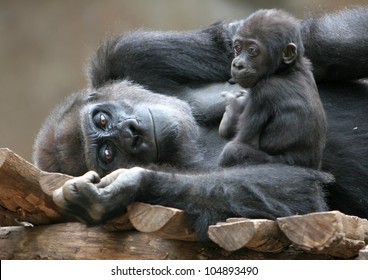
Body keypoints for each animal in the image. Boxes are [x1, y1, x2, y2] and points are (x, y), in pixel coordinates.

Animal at [218, 9, 324, 168]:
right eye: (238, 48)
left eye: (252, 50)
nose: (237, 64)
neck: (285, 70)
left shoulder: (265, 92)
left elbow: (244, 142)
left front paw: (232, 107)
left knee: (232, 151)